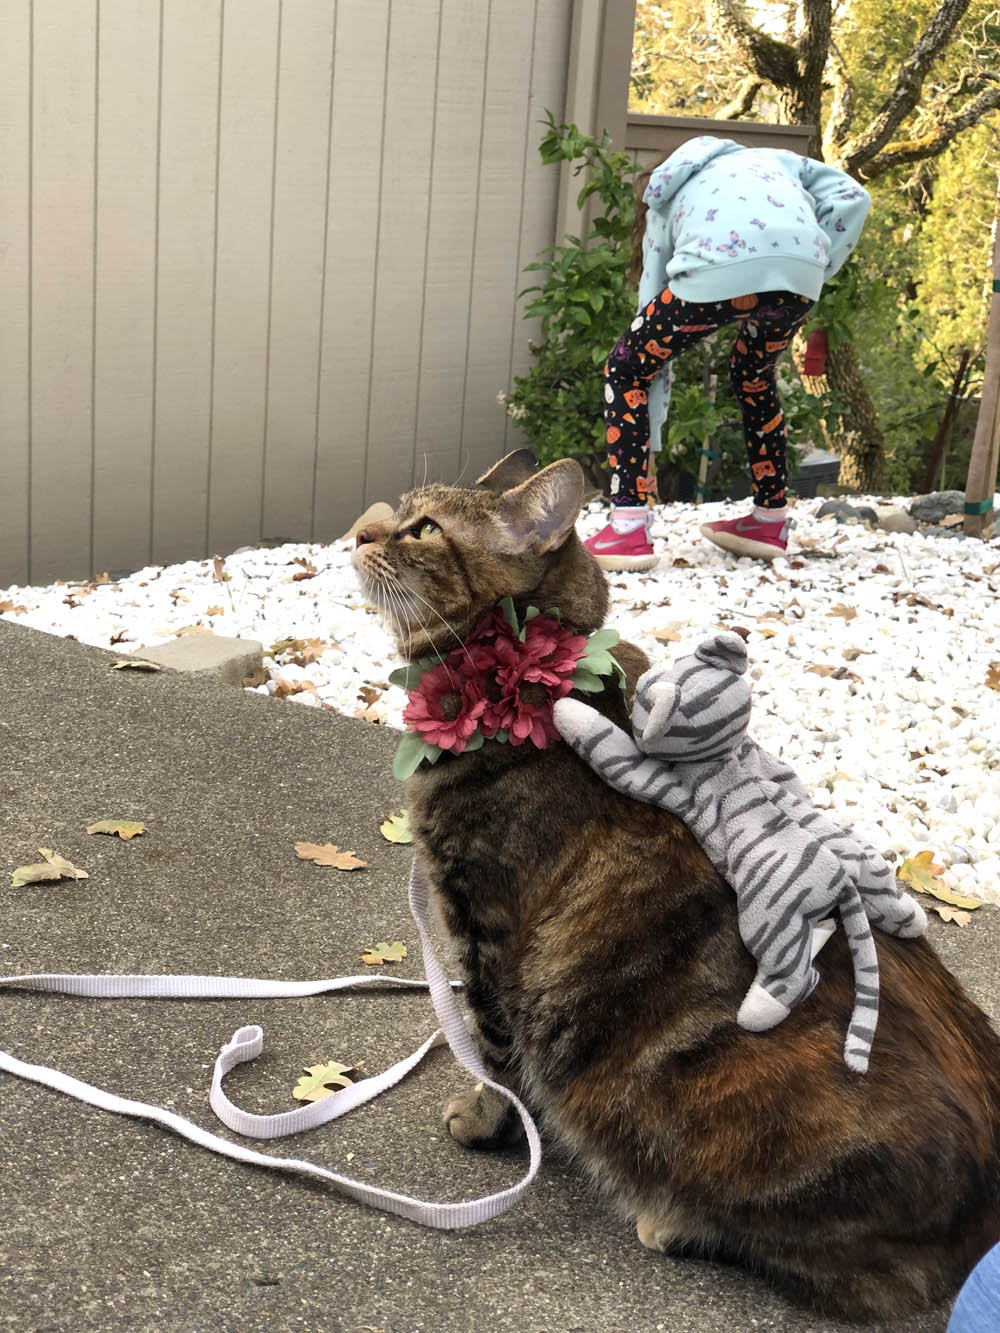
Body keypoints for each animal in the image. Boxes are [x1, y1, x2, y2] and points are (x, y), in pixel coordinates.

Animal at [352, 449, 1000, 1321]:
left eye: (422, 529)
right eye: (395, 513)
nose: (360, 530)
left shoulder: (486, 928)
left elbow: (496, 1057)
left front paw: (488, 1120)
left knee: (871, 1274)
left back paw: (672, 1222)